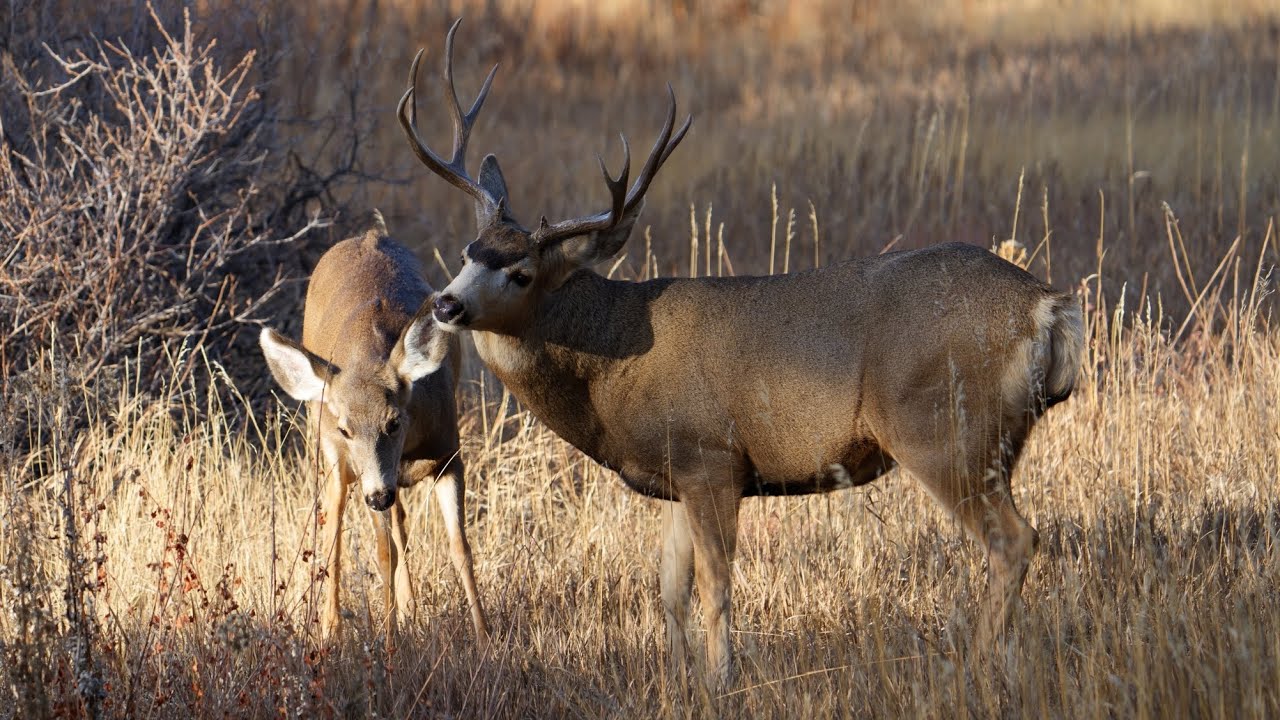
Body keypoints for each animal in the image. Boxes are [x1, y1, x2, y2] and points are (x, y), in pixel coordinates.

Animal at [259, 212, 489, 643]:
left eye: (394, 421)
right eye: (347, 429)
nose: (378, 497)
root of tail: (367, 236)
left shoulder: (449, 454)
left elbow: (460, 547)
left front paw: (485, 636)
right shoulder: (366, 471)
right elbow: (384, 554)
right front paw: (390, 640)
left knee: (398, 525)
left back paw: (409, 607)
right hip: (335, 460)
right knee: (333, 524)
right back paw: (331, 627)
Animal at [402, 19, 1084, 689]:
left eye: (520, 273)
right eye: (468, 251)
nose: (446, 305)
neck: (609, 368)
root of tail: (1046, 308)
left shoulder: (712, 457)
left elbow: (716, 586)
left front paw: (721, 678)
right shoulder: (677, 472)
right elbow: (670, 589)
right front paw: (678, 681)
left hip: (943, 428)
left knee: (1015, 540)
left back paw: (976, 668)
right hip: (994, 439)